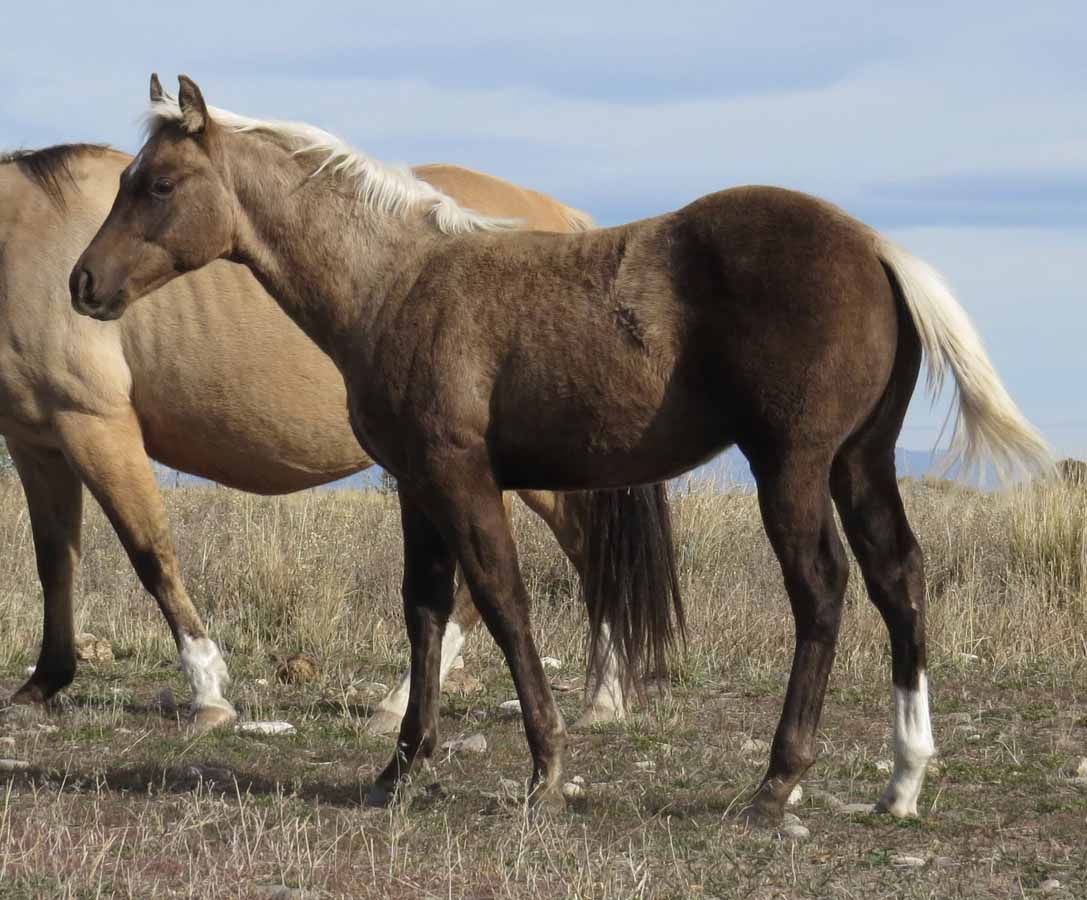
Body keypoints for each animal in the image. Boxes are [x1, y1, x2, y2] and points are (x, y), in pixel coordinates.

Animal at [0, 139, 679, 733]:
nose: (84, 285)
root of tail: (563, 218)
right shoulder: (37, 443)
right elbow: (54, 560)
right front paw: (43, 682)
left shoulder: (94, 424)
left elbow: (151, 554)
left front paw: (208, 692)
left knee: (572, 554)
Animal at [71, 74, 1051, 825]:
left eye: (158, 185)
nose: (82, 283)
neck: (397, 282)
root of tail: (874, 247)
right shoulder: (416, 486)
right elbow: (424, 611)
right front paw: (401, 767)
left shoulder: (463, 478)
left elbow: (503, 605)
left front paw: (544, 768)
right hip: (858, 462)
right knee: (897, 579)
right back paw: (902, 780)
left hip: (793, 467)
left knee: (822, 592)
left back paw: (777, 783)